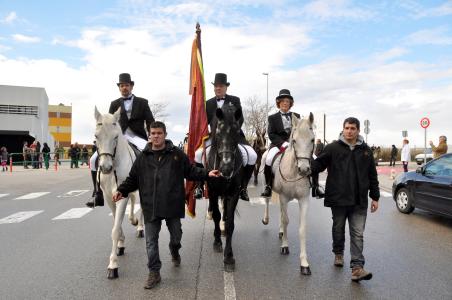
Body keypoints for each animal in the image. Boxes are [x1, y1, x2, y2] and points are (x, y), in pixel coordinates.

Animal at [94, 106, 144, 278]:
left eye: (116, 136)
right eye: (96, 136)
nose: (105, 168)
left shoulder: (121, 197)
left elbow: (115, 230)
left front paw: (113, 265)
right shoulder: (110, 197)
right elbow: (117, 221)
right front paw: (121, 244)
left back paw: (139, 227)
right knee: (133, 201)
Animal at [262, 113, 314, 276]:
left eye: (312, 140)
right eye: (294, 140)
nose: (304, 169)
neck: (293, 170)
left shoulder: (304, 199)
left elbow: (302, 228)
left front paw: (304, 263)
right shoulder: (284, 197)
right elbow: (286, 221)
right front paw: (285, 246)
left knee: (280, 211)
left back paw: (280, 232)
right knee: (267, 201)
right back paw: (266, 219)